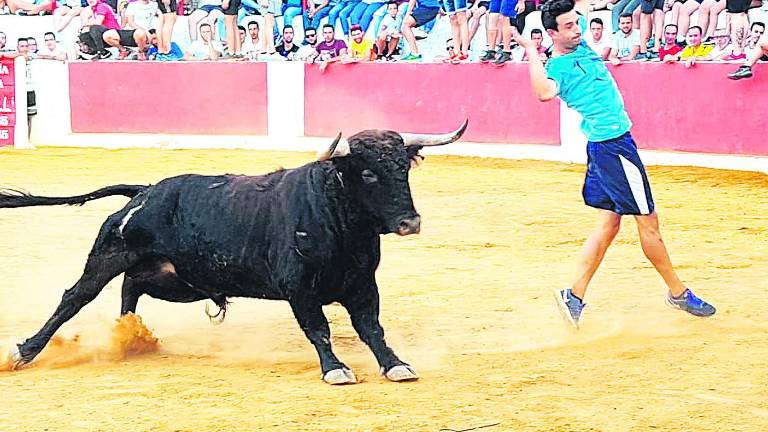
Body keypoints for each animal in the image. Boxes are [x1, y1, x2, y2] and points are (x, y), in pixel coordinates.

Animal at [0, 122, 468, 384]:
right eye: (368, 173)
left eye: (404, 168)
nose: (410, 222)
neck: (337, 219)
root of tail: (146, 191)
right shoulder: (299, 289)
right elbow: (319, 330)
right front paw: (335, 370)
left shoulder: (363, 284)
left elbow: (372, 329)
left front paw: (396, 365)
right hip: (110, 253)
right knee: (75, 297)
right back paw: (26, 352)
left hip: (179, 280)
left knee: (132, 287)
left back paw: (128, 335)